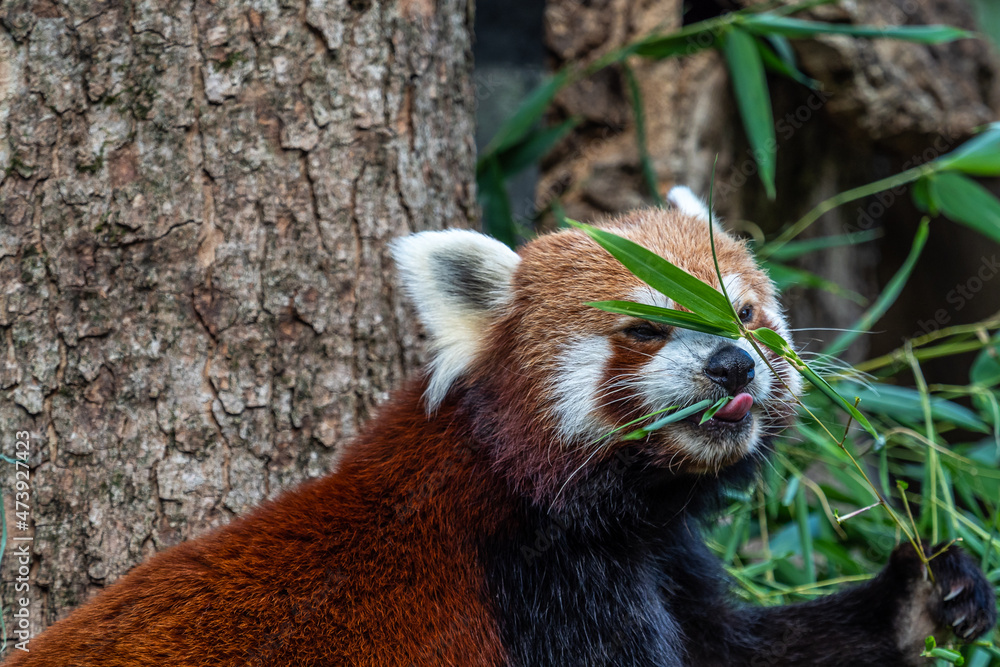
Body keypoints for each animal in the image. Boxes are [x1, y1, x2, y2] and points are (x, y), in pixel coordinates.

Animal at [7, 188, 995, 666]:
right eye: (646, 326)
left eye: (746, 315)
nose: (732, 365)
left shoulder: (658, 560)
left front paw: (926, 594)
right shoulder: (536, 591)